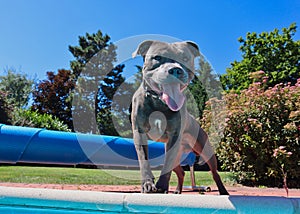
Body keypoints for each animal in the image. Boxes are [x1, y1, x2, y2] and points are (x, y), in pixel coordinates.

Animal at [131, 40, 227, 196]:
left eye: (185, 59)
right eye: (157, 57)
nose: (176, 70)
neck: (159, 102)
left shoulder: (174, 136)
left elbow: (166, 167)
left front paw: (161, 187)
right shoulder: (139, 132)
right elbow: (143, 159)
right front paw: (148, 185)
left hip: (206, 151)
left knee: (214, 173)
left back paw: (224, 191)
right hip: (177, 156)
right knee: (181, 172)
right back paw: (177, 191)